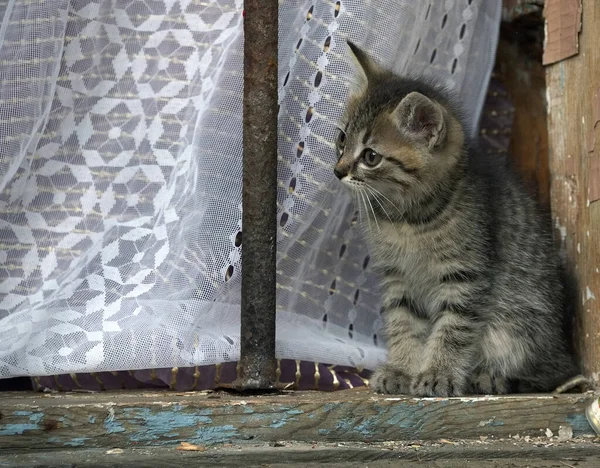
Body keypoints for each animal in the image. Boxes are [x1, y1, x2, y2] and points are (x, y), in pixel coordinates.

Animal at [332, 42, 576, 396]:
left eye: (370, 156)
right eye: (342, 139)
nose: (337, 171)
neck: (407, 219)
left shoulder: (465, 276)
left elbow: (452, 330)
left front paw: (438, 374)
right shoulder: (397, 277)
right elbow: (403, 322)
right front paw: (402, 369)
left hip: (520, 325)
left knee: (550, 373)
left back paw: (490, 377)